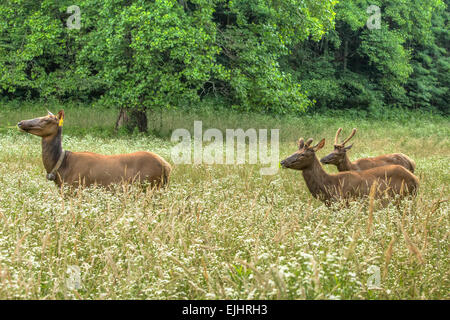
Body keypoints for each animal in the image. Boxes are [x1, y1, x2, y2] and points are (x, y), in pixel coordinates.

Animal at [17, 109, 171, 188]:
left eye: (46, 120)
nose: (20, 122)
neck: (60, 169)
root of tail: (167, 166)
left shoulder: (75, 189)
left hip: (150, 186)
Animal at [280, 138, 420, 205]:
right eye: (296, 151)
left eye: (303, 154)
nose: (282, 161)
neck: (330, 185)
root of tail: (416, 180)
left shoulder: (344, 202)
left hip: (405, 197)